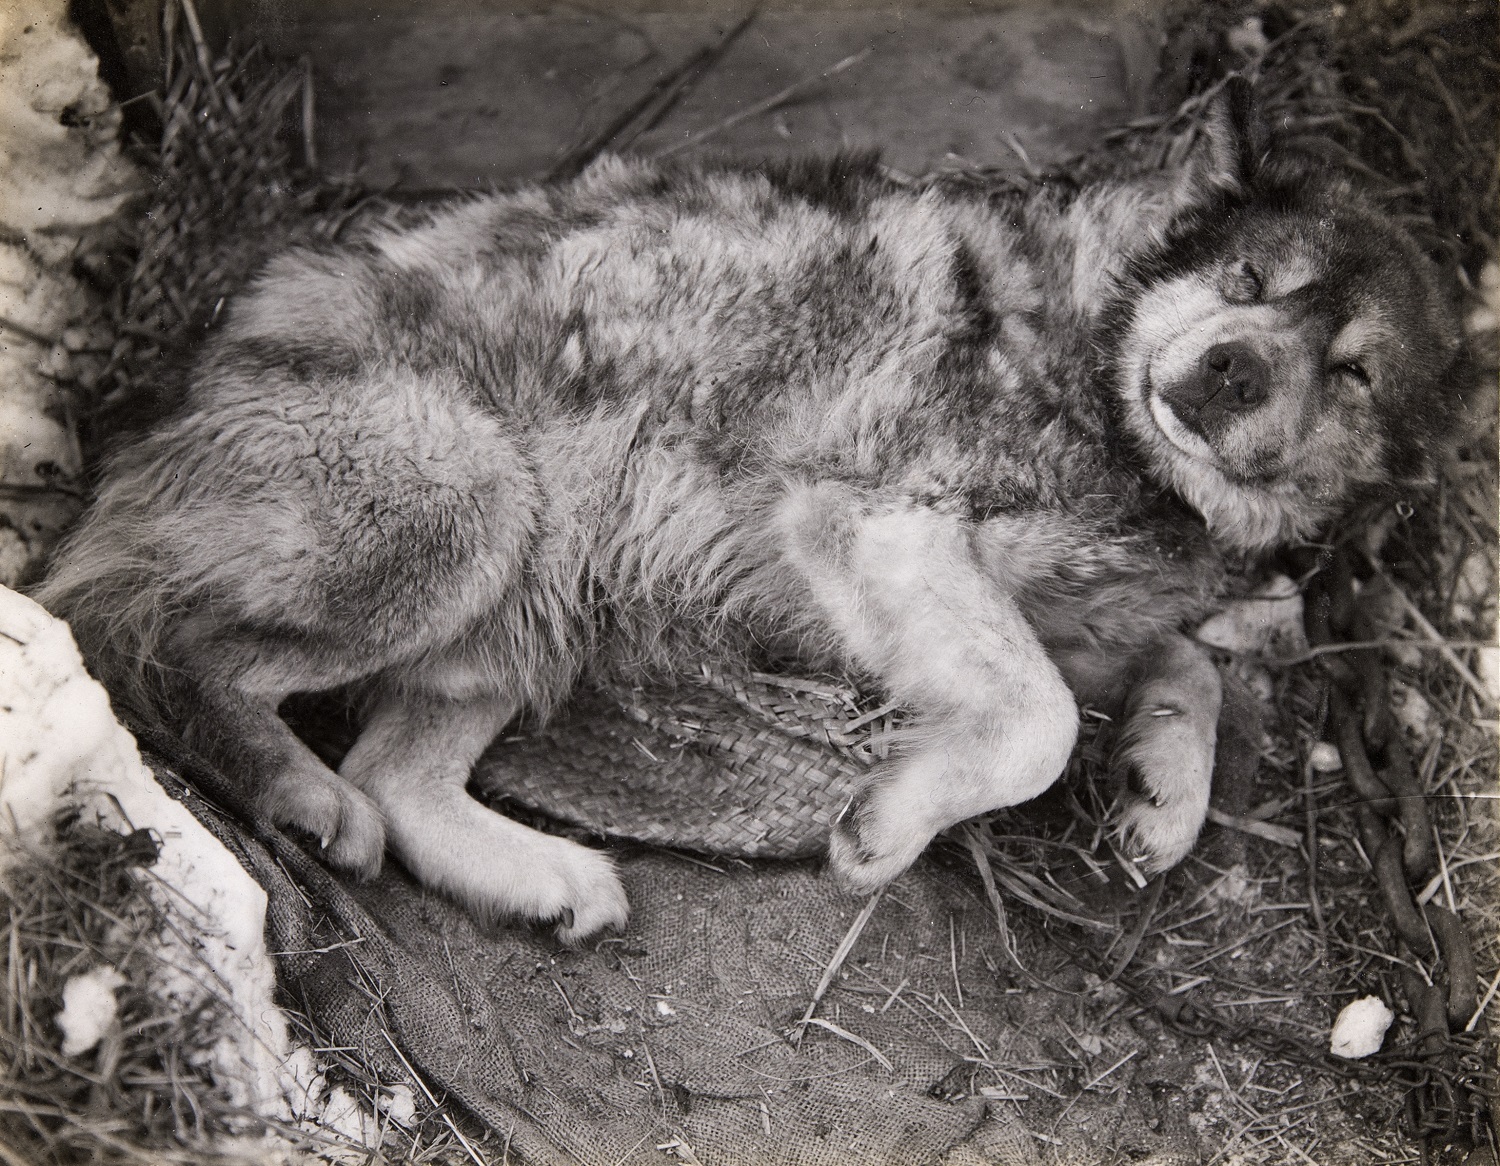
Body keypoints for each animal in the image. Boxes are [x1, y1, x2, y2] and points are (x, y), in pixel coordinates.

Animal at [38, 95, 1464, 942]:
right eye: (1248, 279)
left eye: (1352, 369)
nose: (1228, 369)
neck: (1101, 376)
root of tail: (155, 414)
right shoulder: (876, 522)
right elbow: (1042, 721)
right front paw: (891, 821)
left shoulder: (1060, 606)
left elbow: (1187, 664)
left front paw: (1163, 796)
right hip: (470, 507)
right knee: (161, 650)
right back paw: (291, 783)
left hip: (535, 592)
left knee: (398, 769)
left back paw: (545, 877)